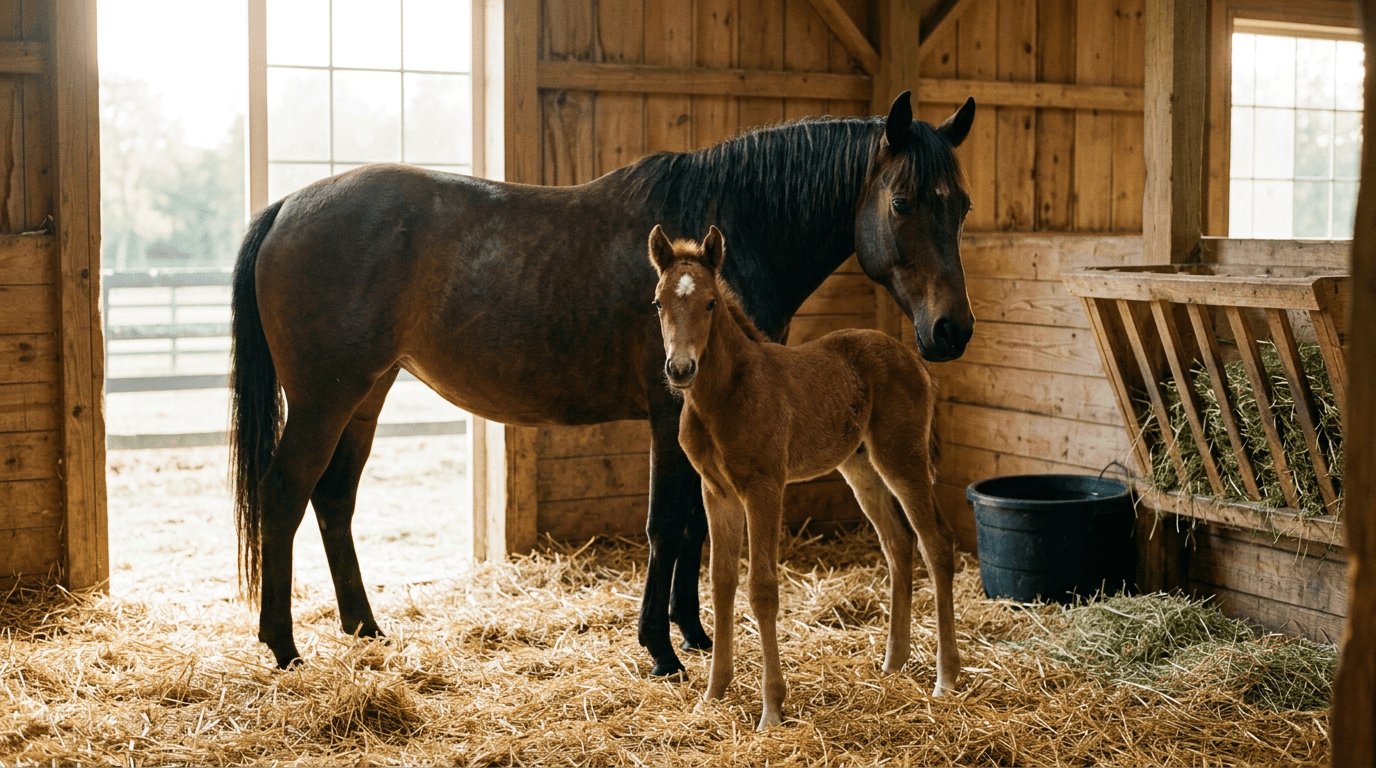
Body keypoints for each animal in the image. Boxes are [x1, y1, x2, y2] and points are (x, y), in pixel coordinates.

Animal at [229, 91, 977, 674]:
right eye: (903, 202)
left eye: (963, 206)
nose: (952, 330)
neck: (725, 237)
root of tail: (287, 206)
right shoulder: (671, 412)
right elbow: (667, 525)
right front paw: (661, 649)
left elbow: (696, 527)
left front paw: (694, 633)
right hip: (325, 399)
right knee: (286, 493)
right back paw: (285, 646)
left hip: (366, 394)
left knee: (333, 499)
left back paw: (365, 628)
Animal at [648, 226, 956, 729]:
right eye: (657, 302)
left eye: (711, 303)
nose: (680, 369)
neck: (725, 393)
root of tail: (915, 359)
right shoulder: (717, 492)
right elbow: (721, 583)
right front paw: (713, 694)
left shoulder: (764, 487)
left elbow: (762, 588)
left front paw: (771, 709)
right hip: (860, 466)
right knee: (898, 543)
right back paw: (893, 664)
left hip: (902, 458)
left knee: (936, 543)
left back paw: (946, 678)